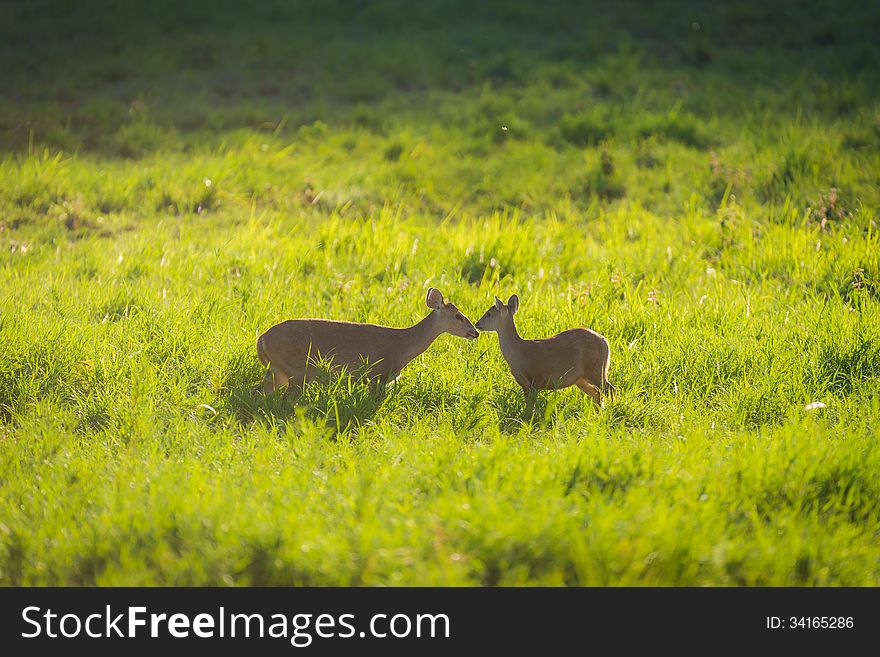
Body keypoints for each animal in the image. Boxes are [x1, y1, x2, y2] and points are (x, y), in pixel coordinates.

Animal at [256, 286, 474, 390]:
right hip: (297, 371)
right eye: (458, 315)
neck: (402, 345)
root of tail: (262, 339)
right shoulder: (377, 376)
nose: (475, 332)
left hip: (278, 371)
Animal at [478, 296, 616, 408]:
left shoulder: (534, 379)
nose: (477, 323)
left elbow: (530, 408)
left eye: (489, 314)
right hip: (580, 378)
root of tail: (605, 341)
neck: (519, 352)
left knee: (611, 390)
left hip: (596, 370)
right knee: (597, 394)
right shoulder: (525, 384)